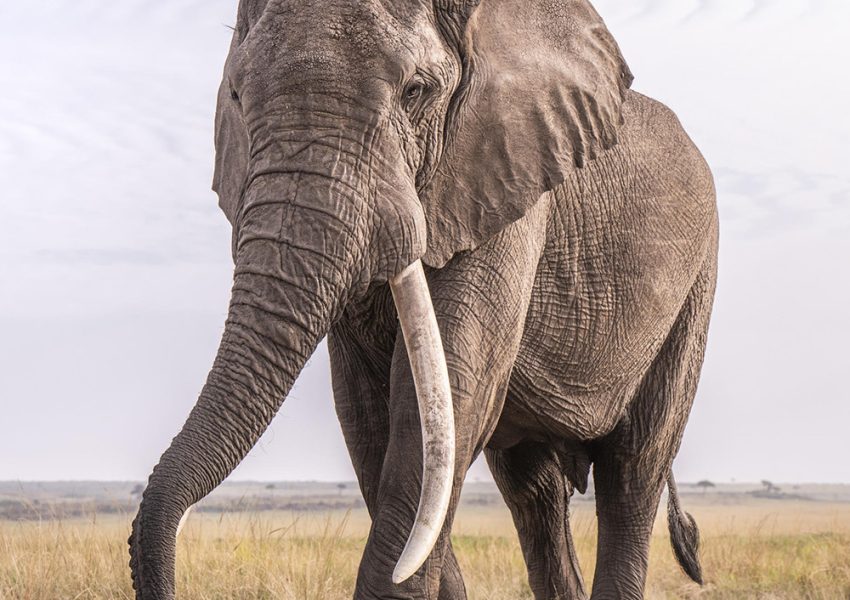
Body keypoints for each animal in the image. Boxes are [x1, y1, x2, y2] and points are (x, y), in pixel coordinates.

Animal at [128, 0, 717, 598]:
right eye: (237, 96)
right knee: (534, 489)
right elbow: (367, 419)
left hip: (696, 288)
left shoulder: (502, 182)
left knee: (634, 468)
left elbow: (441, 401)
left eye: (416, 90)